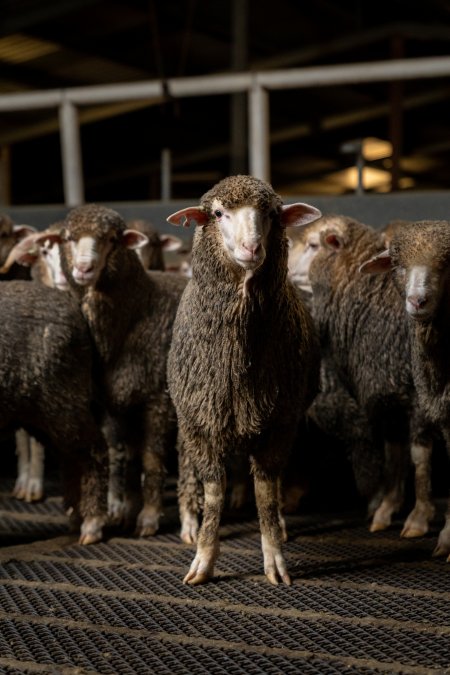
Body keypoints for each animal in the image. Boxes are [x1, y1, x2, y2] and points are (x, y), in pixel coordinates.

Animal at [0, 280, 109, 544]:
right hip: (39, 414)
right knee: (70, 458)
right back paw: (76, 516)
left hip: (64, 401)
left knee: (94, 451)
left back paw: (92, 525)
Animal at [48, 203, 188, 536]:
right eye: (68, 238)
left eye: (112, 239)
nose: (83, 268)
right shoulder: (111, 403)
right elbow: (118, 455)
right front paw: (121, 509)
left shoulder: (158, 399)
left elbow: (151, 459)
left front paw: (148, 517)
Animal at [167, 174, 322, 588]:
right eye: (219, 213)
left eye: (270, 213)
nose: (252, 248)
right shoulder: (202, 424)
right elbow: (214, 493)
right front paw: (203, 558)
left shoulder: (279, 423)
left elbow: (265, 493)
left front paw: (275, 557)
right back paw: (189, 523)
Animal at [306, 214, 436, 540]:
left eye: (313, 245)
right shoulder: (389, 398)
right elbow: (394, 453)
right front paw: (387, 508)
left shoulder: (419, 399)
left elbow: (419, 457)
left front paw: (419, 516)